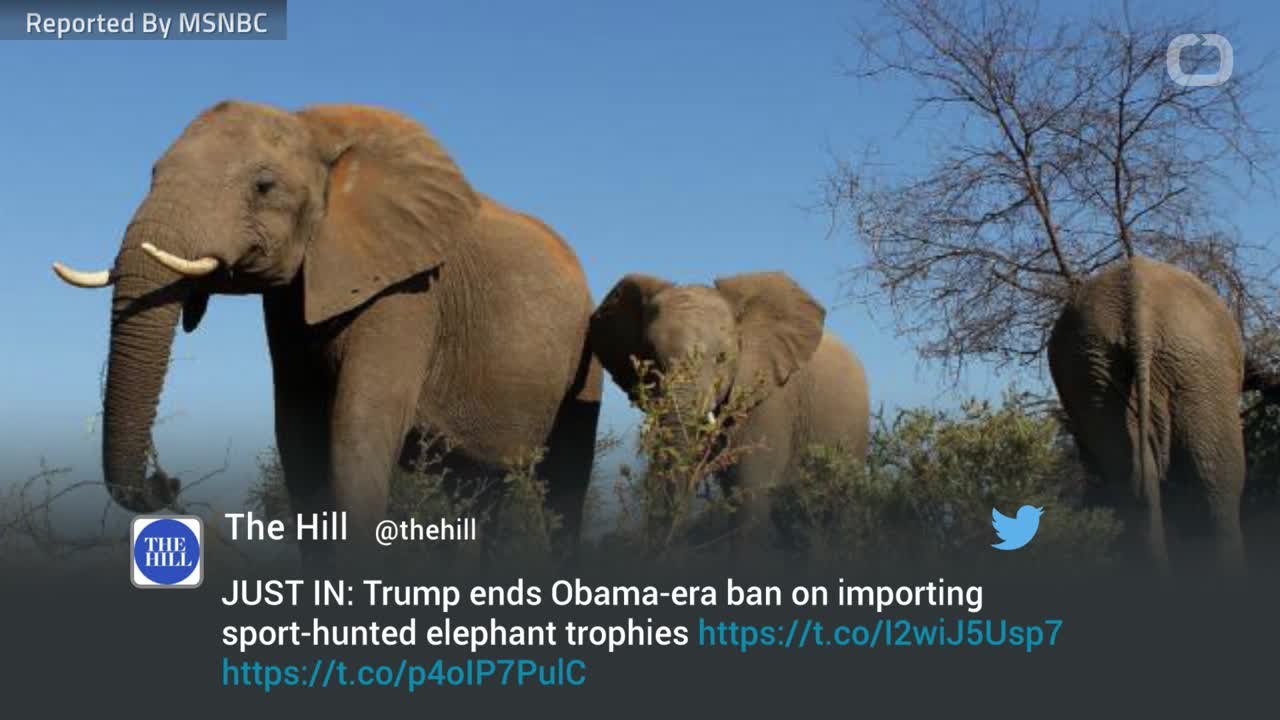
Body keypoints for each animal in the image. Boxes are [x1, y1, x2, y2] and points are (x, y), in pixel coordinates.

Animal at [51, 100, 602, 559]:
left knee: (563, 489)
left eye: (264, 186)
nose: (169, 482)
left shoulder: (408, 289)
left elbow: (356, 429)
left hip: (586, 356)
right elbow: (298, 437)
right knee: (476, 494)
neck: (315, 129)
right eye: (153, 173)